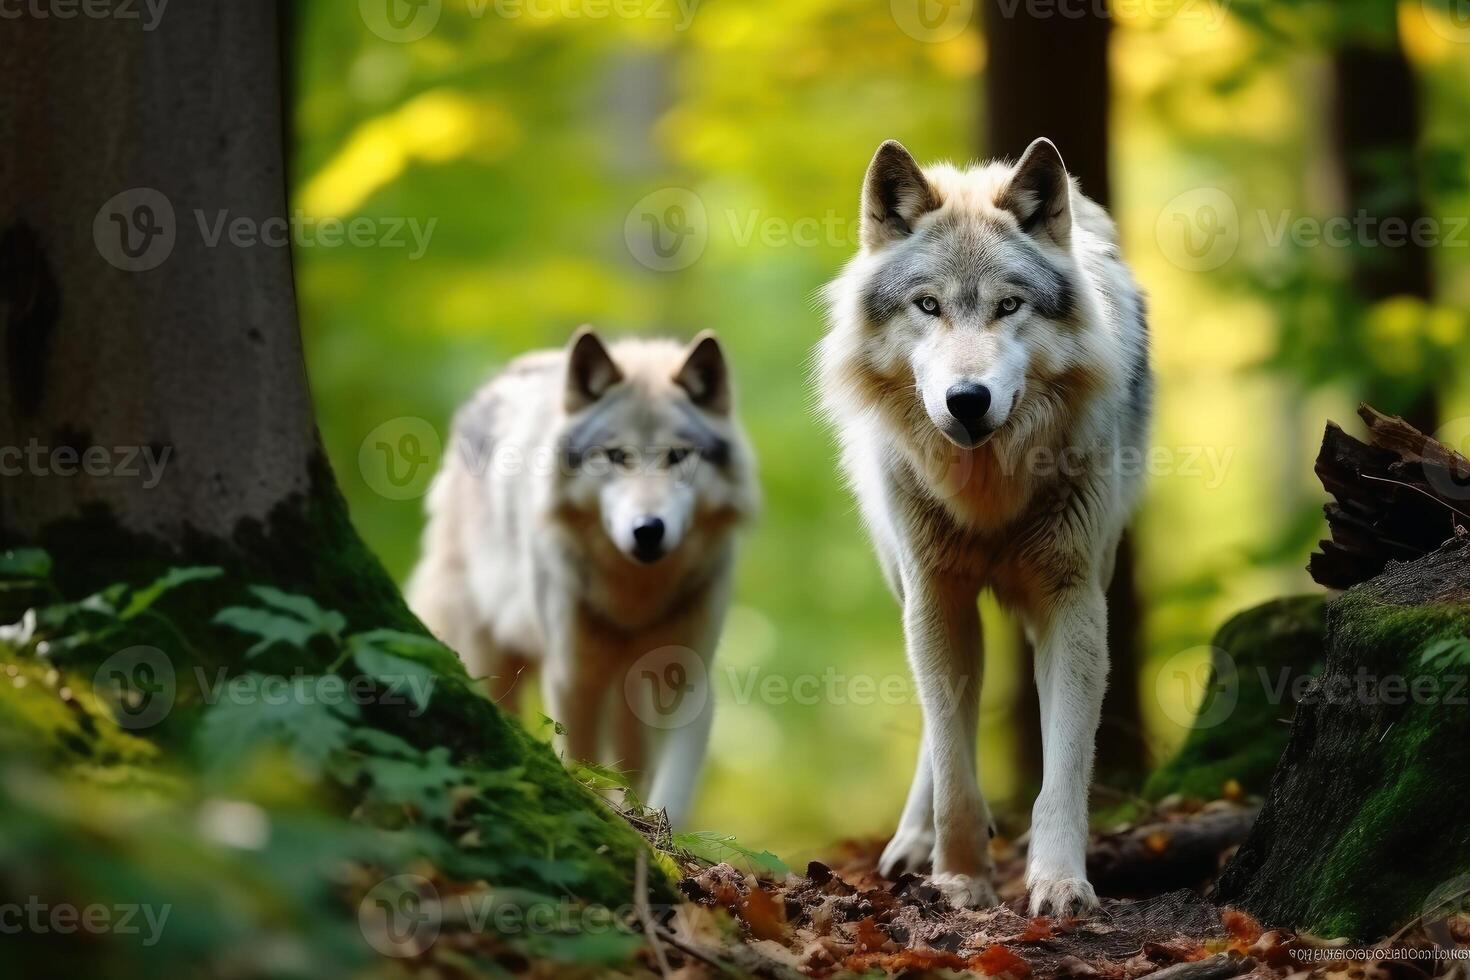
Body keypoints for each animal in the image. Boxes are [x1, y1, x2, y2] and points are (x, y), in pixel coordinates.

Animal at [411, 332, 764, 828]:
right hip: (489, 654)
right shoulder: (575, 679)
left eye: (677, 455)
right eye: (616, 456)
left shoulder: (686, 679)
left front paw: (658, 834)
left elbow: (670, 782)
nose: (648, 529)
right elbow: (583, 764)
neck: (635, 598)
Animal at [817, 139, 1146, 922]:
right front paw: (959, 878)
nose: (967, 399)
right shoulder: (937, 598)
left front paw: (1059, 882)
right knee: (937, 736)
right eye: (928, 305)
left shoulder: (1073, 601)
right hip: (908, 586)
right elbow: (953, 764)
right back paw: (912, 844)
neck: (987, 492)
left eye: (1009, 306)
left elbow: (1063, 773)